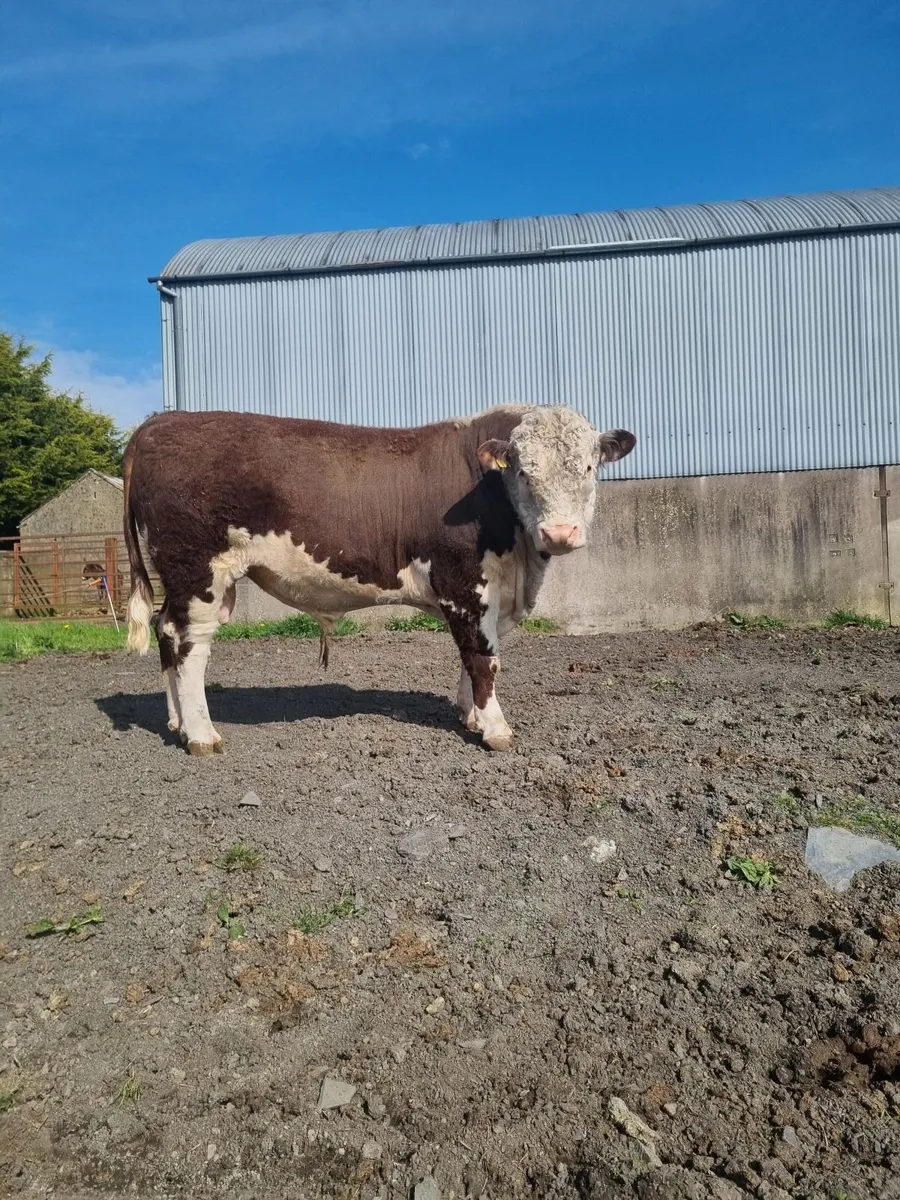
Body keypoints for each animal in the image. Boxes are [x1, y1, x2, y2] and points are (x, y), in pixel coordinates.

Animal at [122, 406, 635, 755]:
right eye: (525, 472)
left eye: (588, 467)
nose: (560, 532)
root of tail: (158, 422)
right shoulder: (464, 584)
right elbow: (481, 658)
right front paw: (495, 729)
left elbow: (472, 658)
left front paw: (469, 715)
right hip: (197, 571)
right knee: (191, 646)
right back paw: (202, 735)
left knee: (166, 632)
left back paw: (176, 723)